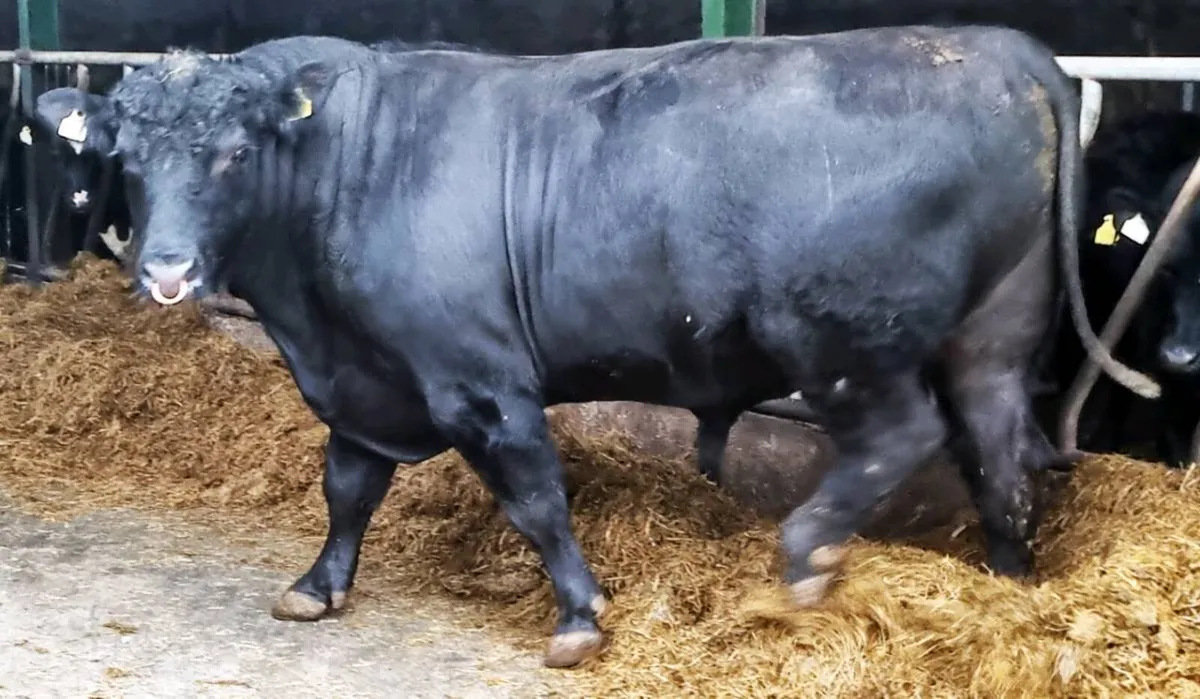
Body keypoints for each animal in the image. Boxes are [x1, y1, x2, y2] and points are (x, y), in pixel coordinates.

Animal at [35, 26, 1157, 668]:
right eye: (127, 156)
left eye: (233, 153)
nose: (167, 269)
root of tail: (993, 44)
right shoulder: (366, 380)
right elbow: (347, 485)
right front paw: (318, 584)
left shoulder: (479, 381)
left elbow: (535, 497)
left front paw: (578, 614)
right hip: (994, 331)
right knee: (999, 452)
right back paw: (1010, 583)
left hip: (841, 338)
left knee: (904, 434)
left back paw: (805, 554)